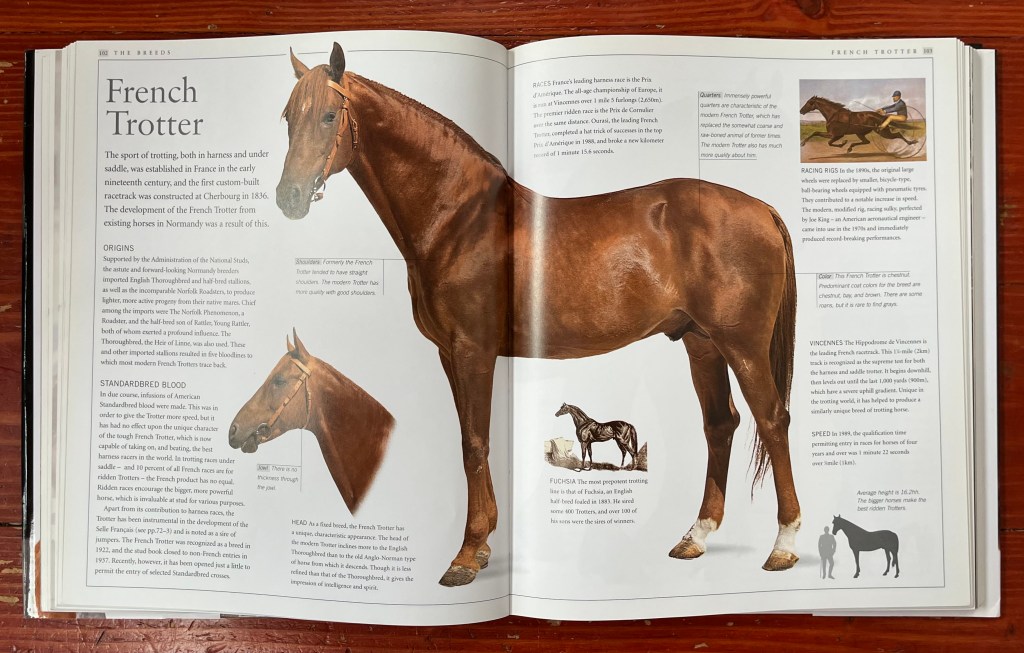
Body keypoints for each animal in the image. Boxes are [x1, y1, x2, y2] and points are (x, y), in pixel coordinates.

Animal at [277, 43, 800, 586]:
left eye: (329, 115)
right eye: (289, 117)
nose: (288, 197)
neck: (461, 219)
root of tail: (761, 208)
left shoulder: (473, 351)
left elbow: (475, 443)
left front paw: (467, 554)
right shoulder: (449, 354)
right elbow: (470, 440)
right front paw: (484, 545)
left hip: (742, 346)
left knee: (772, 420)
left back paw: (783, 546)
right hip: (701, 343)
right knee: (721, 425)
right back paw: (696, 537)